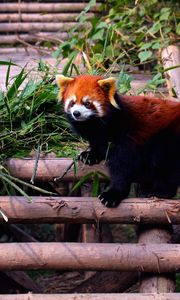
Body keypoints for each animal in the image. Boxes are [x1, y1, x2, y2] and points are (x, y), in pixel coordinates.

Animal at [56, 74, 180, 207]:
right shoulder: (97, 136)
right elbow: (97, 145)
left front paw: (113, 194)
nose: (76, 113)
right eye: (72, 102)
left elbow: (122, 166)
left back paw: (161, 192)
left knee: (166, 166)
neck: (96, 124)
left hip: (168, 138)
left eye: (87, 103)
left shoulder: (125, 135)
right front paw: (90, 155)